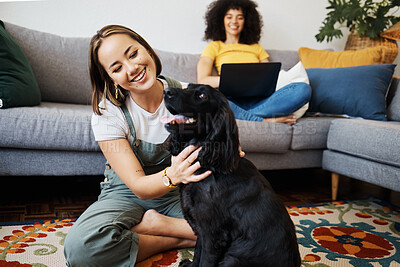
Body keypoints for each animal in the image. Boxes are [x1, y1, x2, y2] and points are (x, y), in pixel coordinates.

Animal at [162, 85, 300, 267]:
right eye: (188, 87)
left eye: (202, 95)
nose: (166, 92)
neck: (210, 165)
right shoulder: (201, 228)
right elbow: (197, 253)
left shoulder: (214, 235)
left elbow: (204, 260)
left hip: (231, 259)